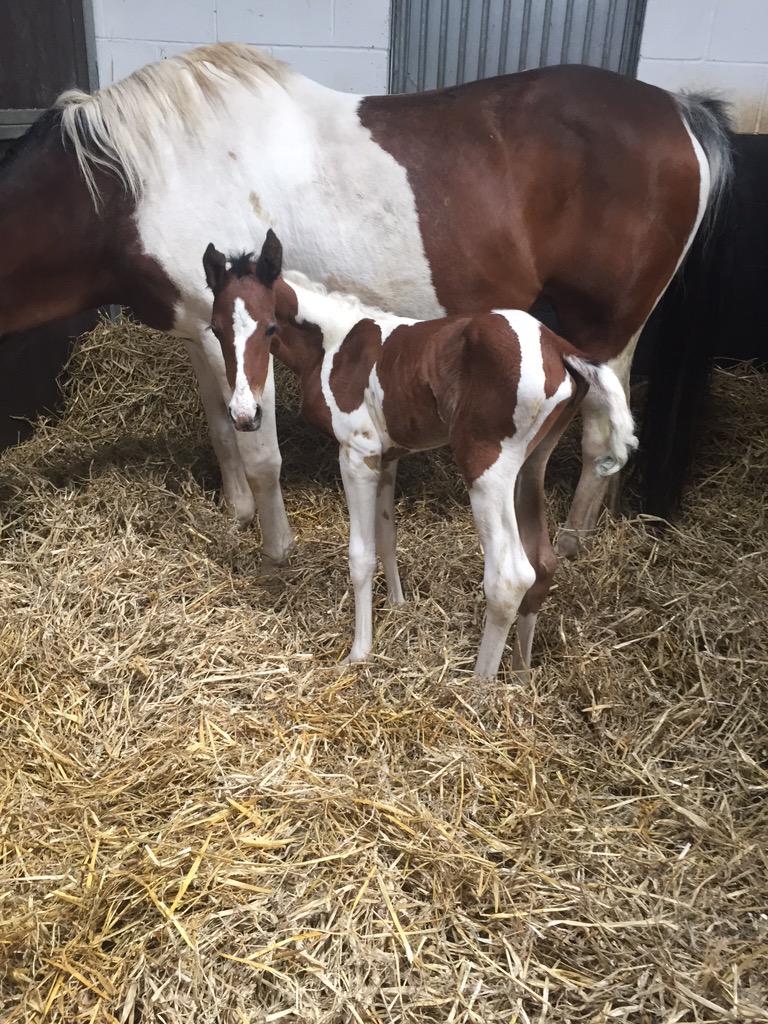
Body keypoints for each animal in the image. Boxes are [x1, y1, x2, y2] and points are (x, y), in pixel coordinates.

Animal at [0, 43, 731, 563]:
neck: (133, 185)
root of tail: (680, 111)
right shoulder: (207, 334)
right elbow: (221, 427)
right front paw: (236, 515)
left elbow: (260, 454)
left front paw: (276, 549)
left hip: (605, 329)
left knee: (604, 432)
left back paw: (575, 541)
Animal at [203, 231, 637, 677]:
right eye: (215, 330)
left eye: (270, 327)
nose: (245, 415)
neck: (334, 345)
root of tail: (559, 347)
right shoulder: (387, 456)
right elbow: (387, 535)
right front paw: (397, 605)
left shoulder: (357, 454)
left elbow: (361, 555)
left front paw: (359, 651)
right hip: (532, 465)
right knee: (543, 564)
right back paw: (521, 673)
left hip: (487, 467)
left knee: (510, 576)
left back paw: (481, 685)